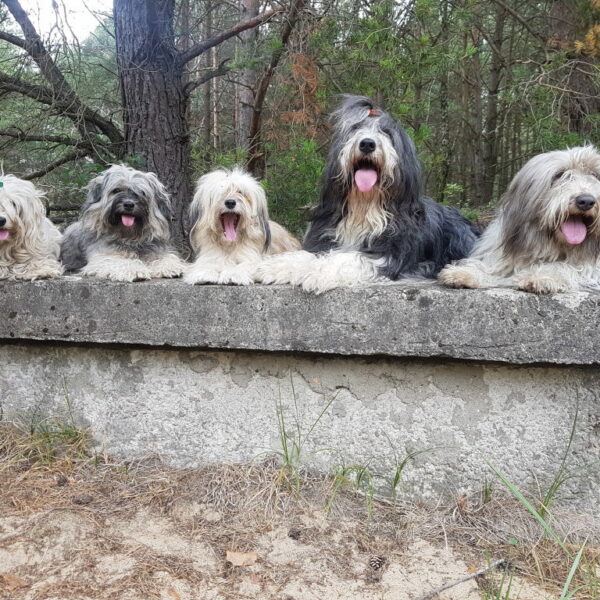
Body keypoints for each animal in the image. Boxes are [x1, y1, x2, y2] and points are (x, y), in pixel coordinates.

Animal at [255, 95, 480, 294]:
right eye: (355, 129)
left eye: (387, 133)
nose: (367, 143)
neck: (365, 207)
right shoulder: (325, 239)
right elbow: (308, 255)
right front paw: (274, 266)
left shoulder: (389, 254)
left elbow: (350, 258)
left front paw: (319, 272)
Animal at [438, 146, 600, 294]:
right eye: (559, 175)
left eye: (595, 175)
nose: (586, 201)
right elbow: (492, 267)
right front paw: (465, 273)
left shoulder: (591, 268)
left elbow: (565, 266)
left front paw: (540, 276)